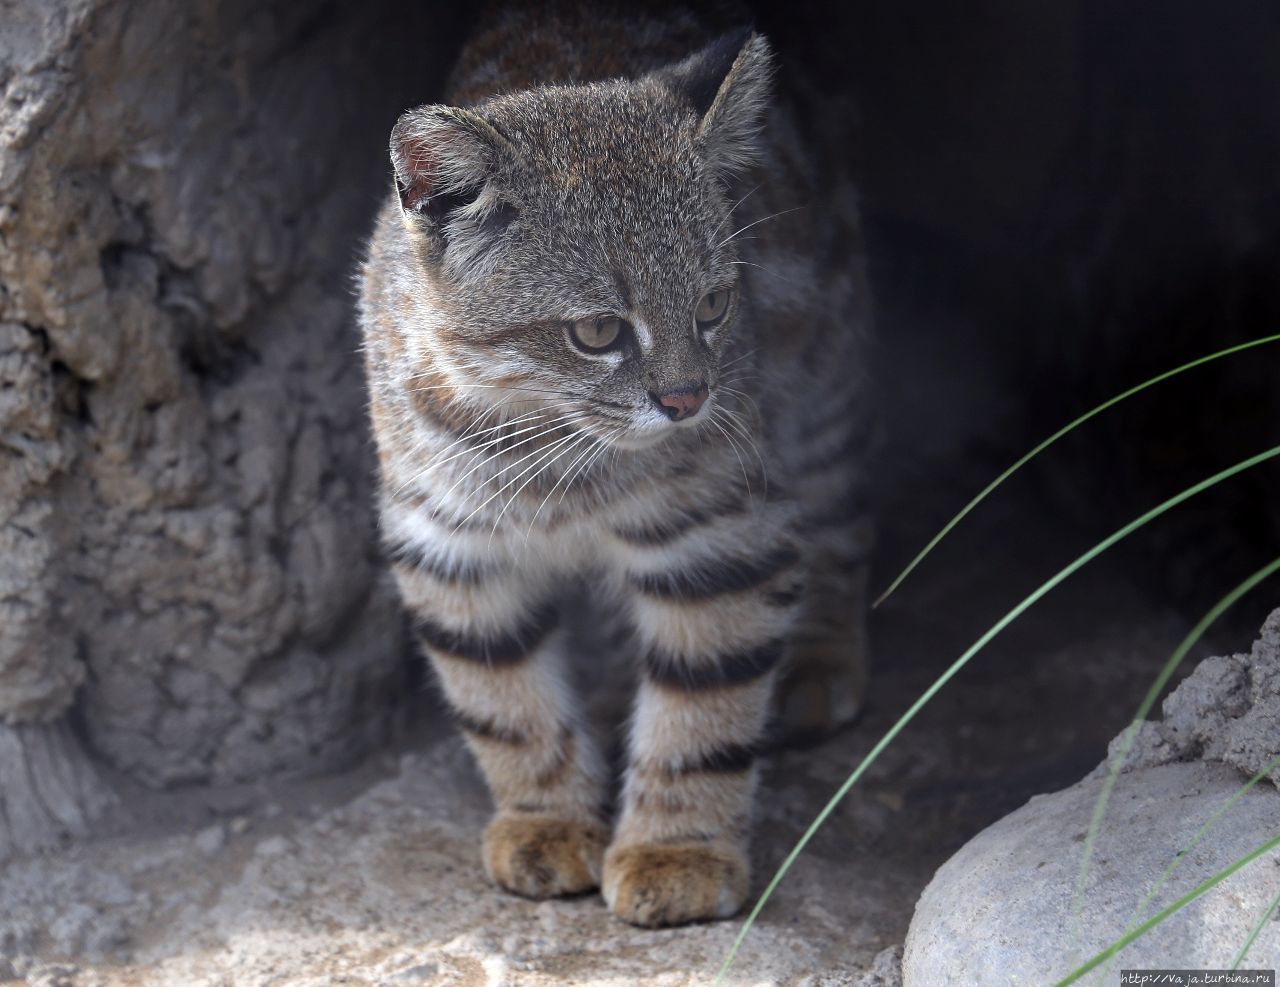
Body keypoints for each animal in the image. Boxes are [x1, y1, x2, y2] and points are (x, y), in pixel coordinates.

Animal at [366, 1, 875, 926]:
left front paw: (677, 848)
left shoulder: (719, 534)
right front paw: (544, 817)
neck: (552, 449)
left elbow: (705, 706)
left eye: (715, 305)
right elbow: (504, 702)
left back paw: (822, 659)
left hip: (827, 398)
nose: (687, 399)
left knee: (842, 523)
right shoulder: (449, 541)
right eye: (598, 331)